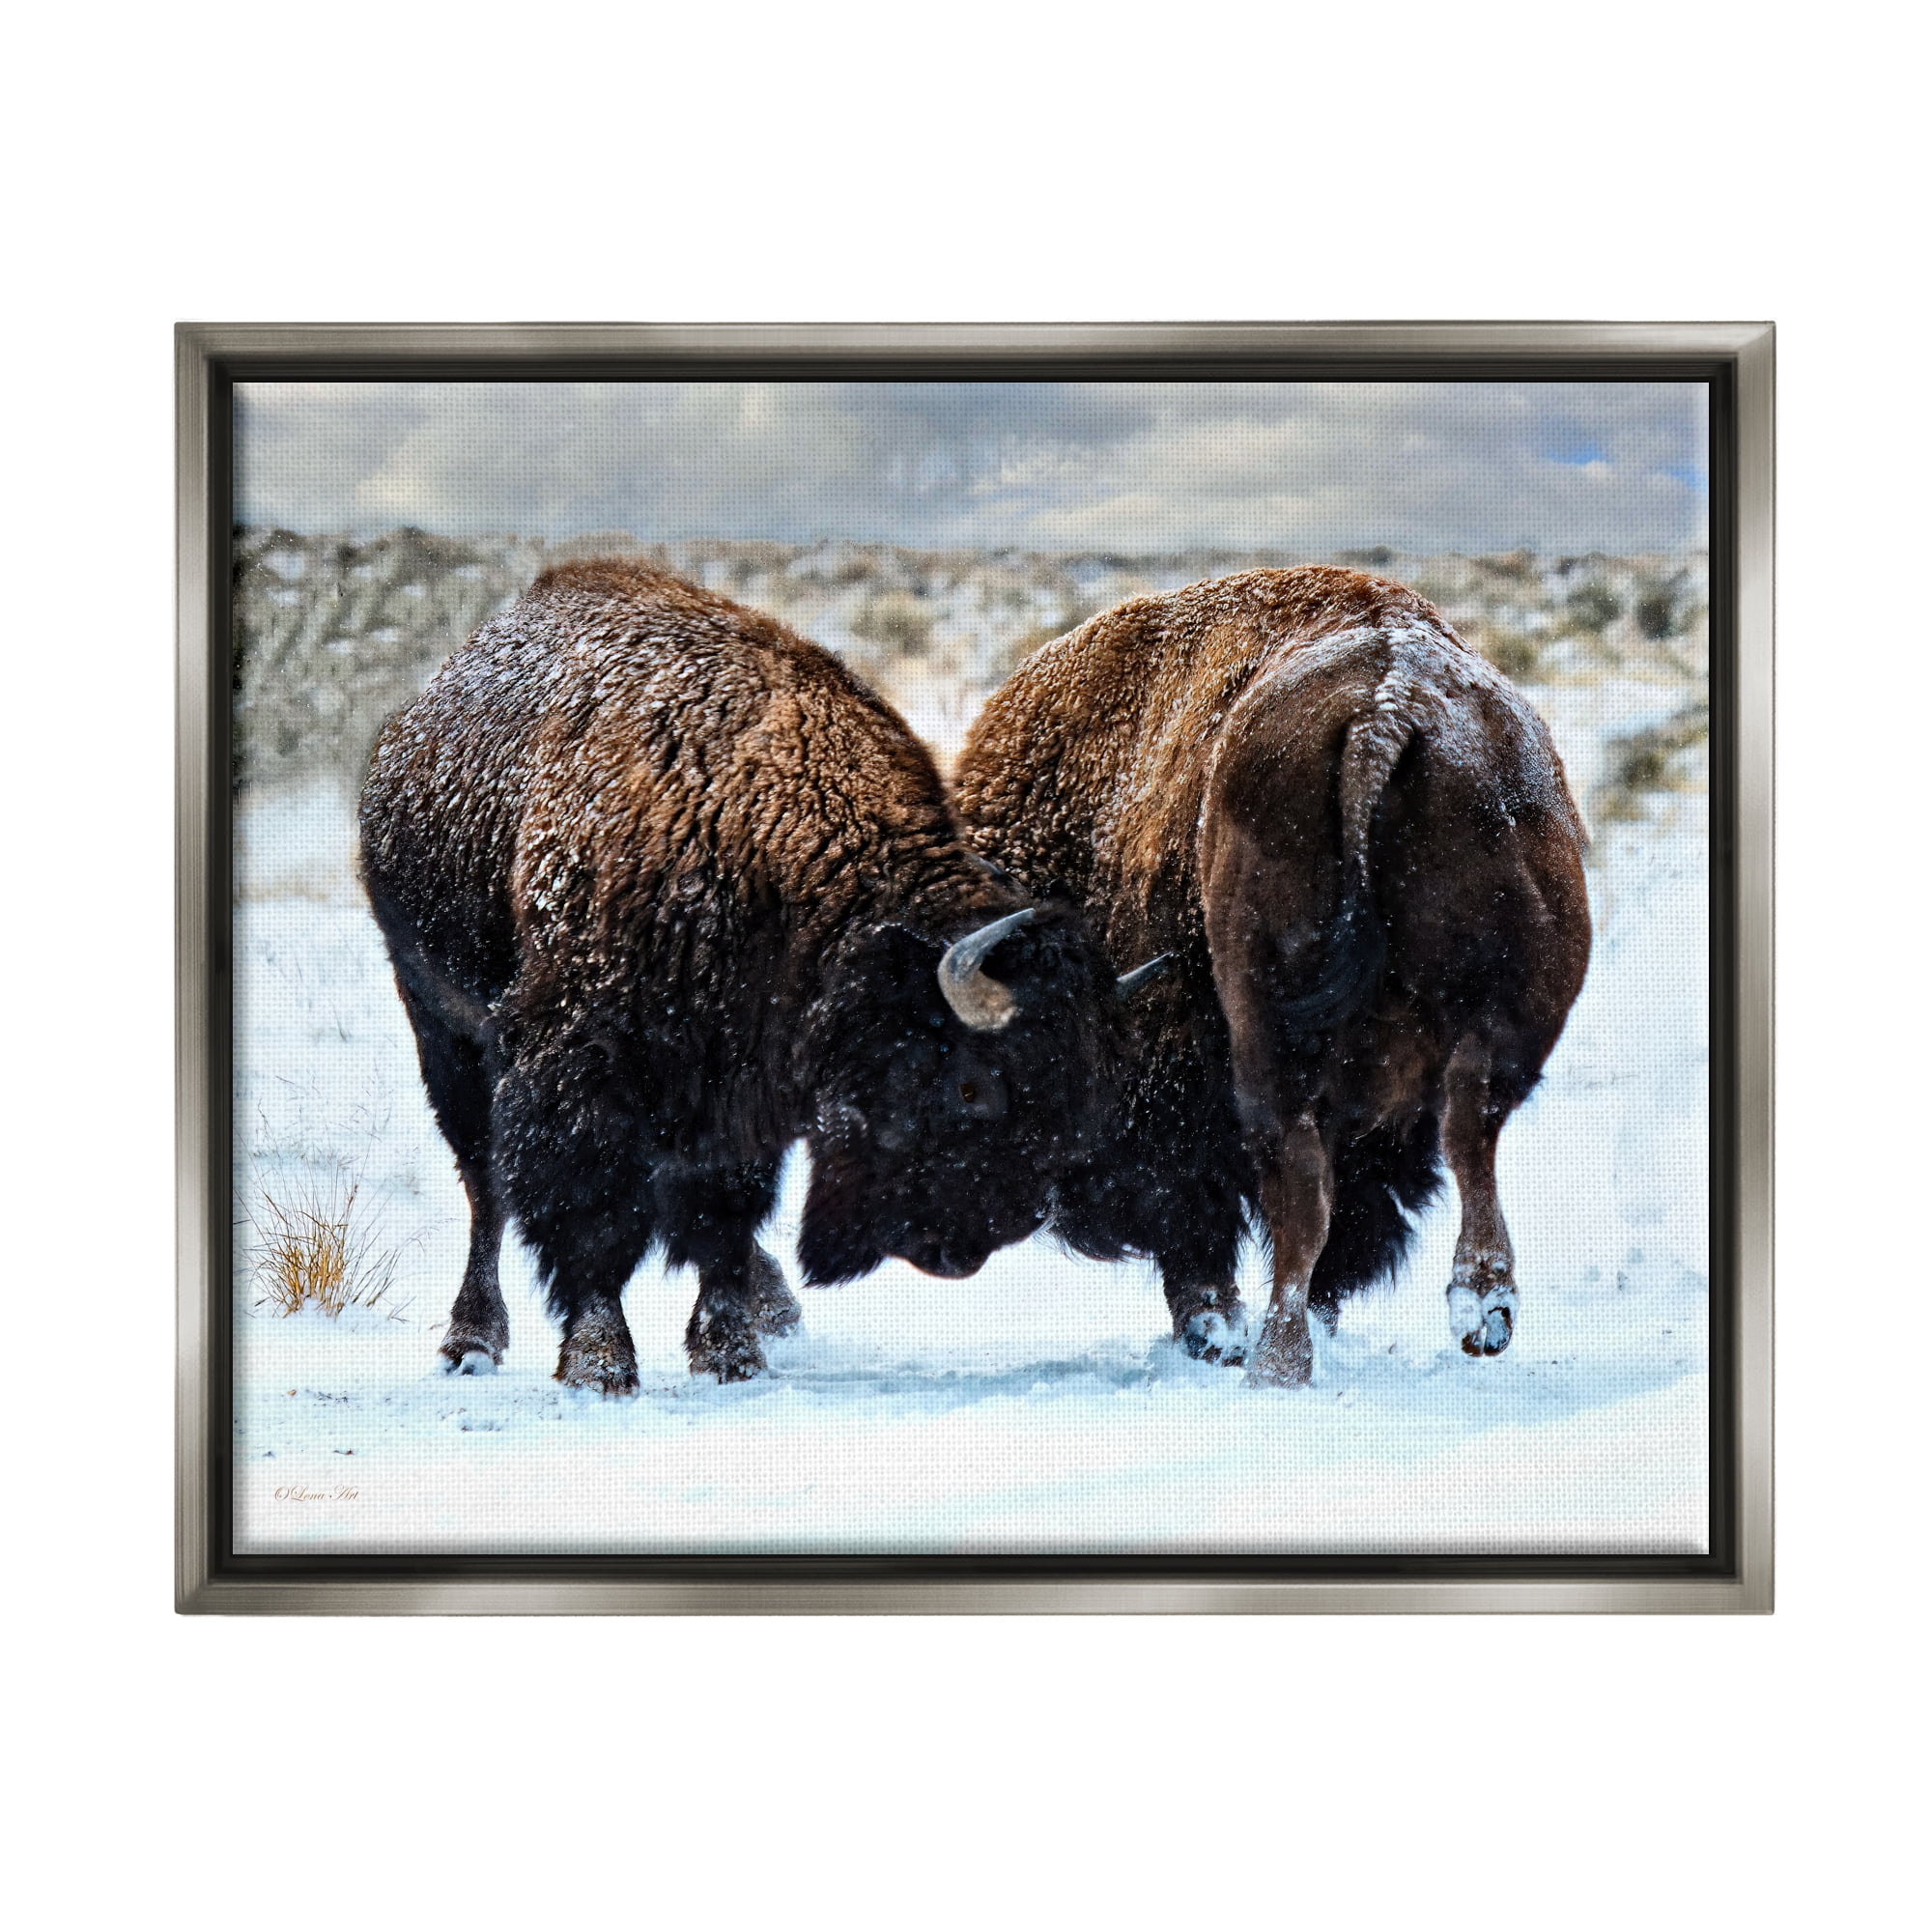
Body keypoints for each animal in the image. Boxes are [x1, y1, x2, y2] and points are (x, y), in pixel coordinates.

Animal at [359, 561, 1157, 1392]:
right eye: (972, 1087)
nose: (974, 1244)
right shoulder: (579, 1068)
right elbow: (593, 1216)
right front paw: (600, 1365)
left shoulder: (741, 1086)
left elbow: (722, 1215)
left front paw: (731, 1353)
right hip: (441, 1027)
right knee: (484, 1185)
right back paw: (471, 1341)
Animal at [954, 566, 1592, 1387]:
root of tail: (1387, 709)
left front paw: (1217, 1332)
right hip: (1512, 1009)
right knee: (1468, 1125)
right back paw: (1482, 1310)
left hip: (1266, 1033)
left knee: (1301, 1180)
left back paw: (1275, 1361)